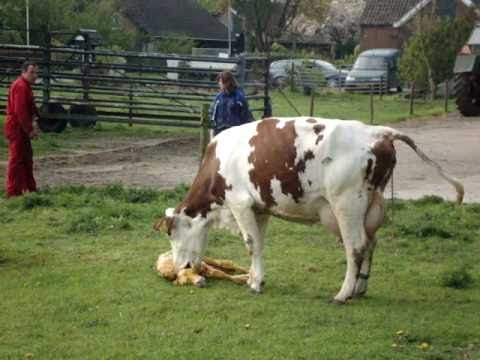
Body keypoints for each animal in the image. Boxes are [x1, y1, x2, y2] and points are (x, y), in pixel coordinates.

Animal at [153, 116, 462, 302]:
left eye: (171, 234)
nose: (178, 268)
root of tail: (379, 131)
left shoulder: (240, 203)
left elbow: (251, 244)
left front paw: (254, 283)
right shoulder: (260, 208)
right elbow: (259, 245)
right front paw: (255, 278)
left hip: (347, 204)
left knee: (356, 247)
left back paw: (343, 293)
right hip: (371, 206)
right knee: (371, 244)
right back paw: (360, 288)